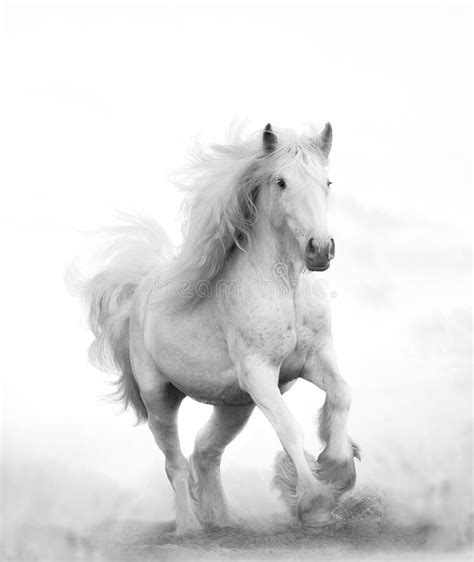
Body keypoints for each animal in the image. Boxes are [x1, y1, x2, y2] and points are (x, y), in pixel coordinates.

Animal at [76, 120, 360, 532]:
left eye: (327, 182)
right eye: (281, 182)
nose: (320, 249)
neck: (285, 288)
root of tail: (139, 294)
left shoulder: (314, 359)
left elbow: (342, 394)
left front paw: (338, 466)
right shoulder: (259, 372)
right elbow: (289, 428)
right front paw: (315, 504)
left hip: (235, 406)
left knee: (205, 452)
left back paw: (224, 522)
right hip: (160, 400)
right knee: (175, 462)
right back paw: (189, 528)